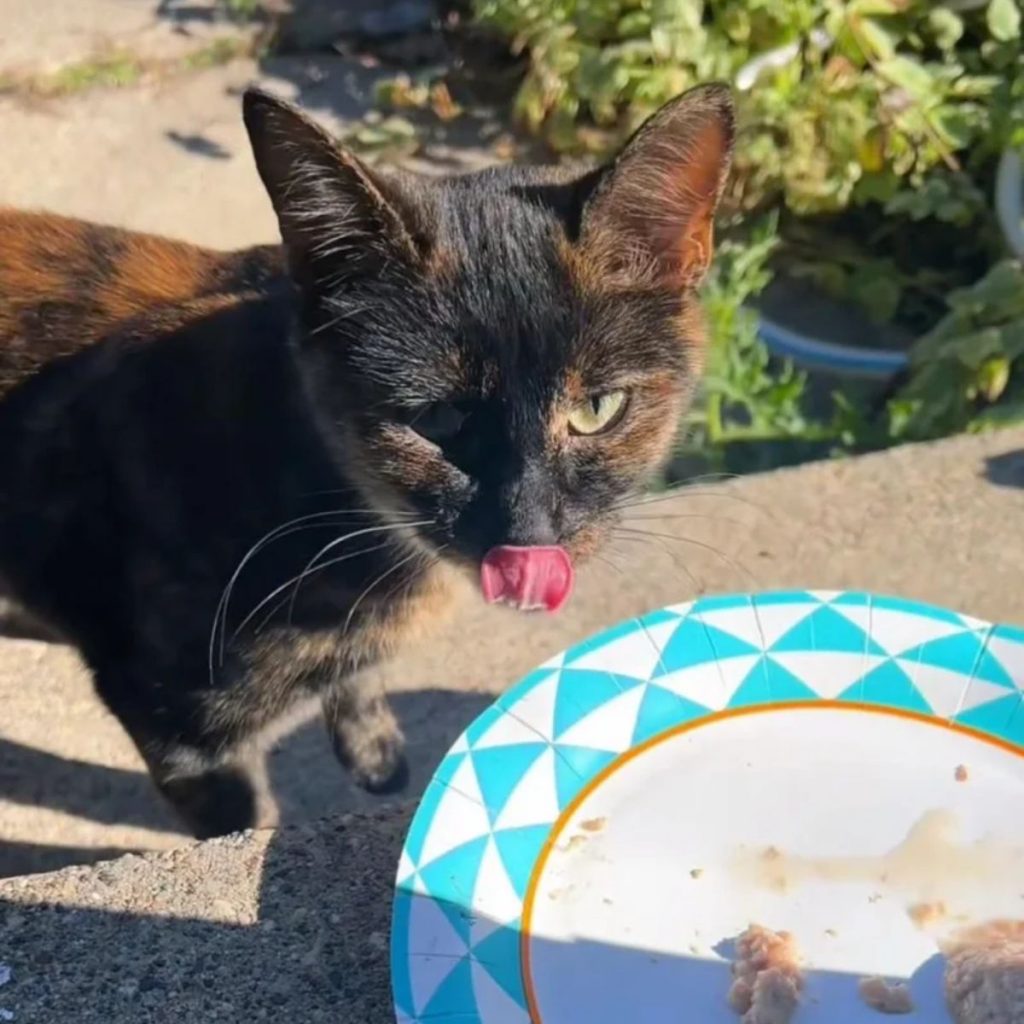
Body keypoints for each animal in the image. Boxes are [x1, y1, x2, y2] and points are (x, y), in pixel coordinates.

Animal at [0, 83, 737, 835]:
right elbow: (244, 820)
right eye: (436, 419)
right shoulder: (178, 728)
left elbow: (356, 680)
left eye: (596, 408)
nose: (528, 533)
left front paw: (374, 748)